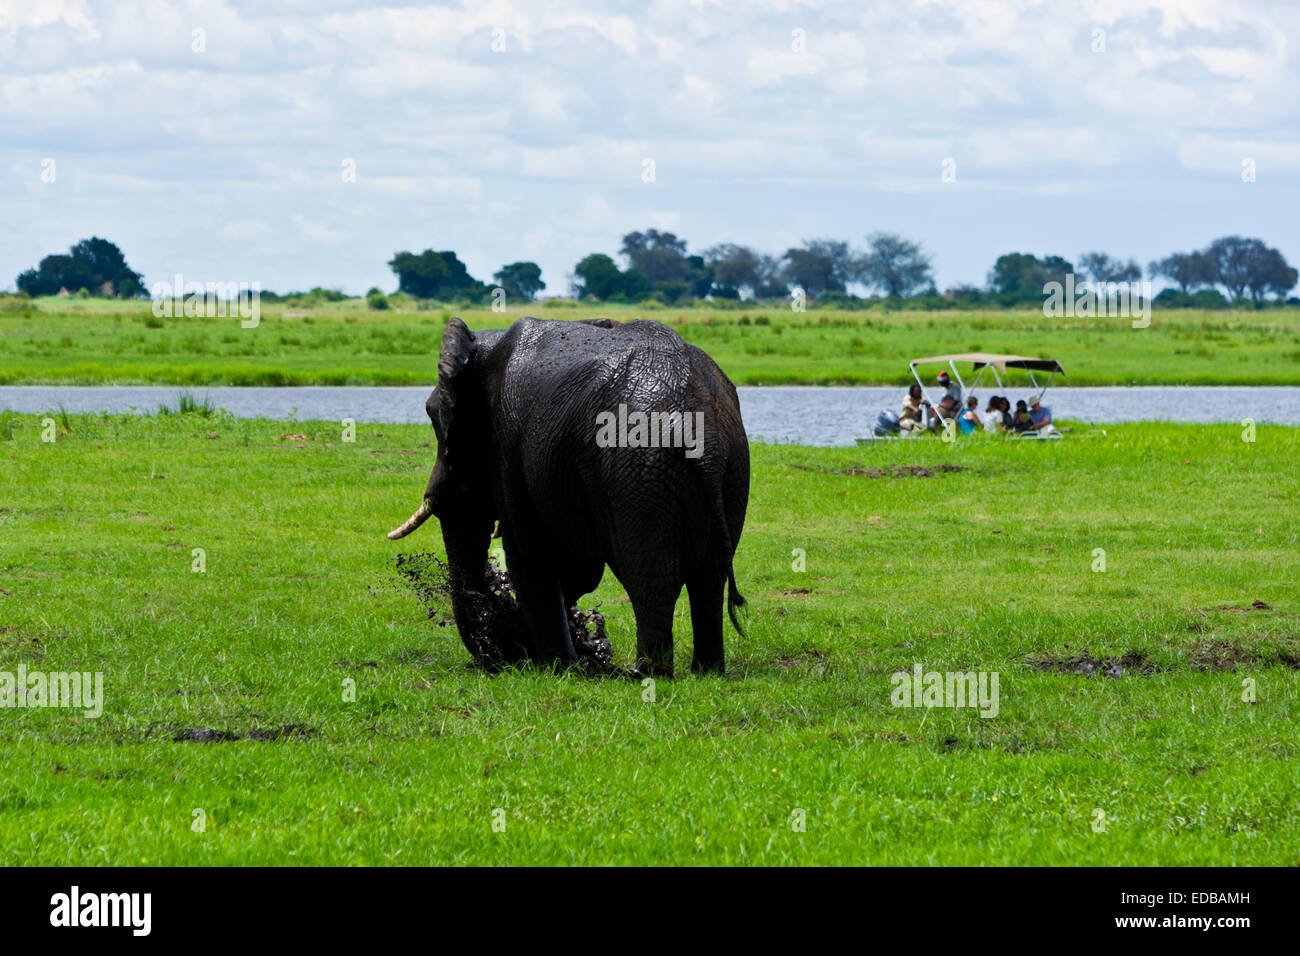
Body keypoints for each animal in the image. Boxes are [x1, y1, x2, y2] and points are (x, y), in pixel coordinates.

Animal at [387, 315, 749, 677]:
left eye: (434, 416)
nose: (501, 658)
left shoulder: (510, 444)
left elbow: (529, 554)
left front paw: (558, 667)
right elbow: (576, 566)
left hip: (641, 468)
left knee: (652, 582)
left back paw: (645, 675)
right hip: (729, 465)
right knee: (710, 577)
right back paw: (706, 670)